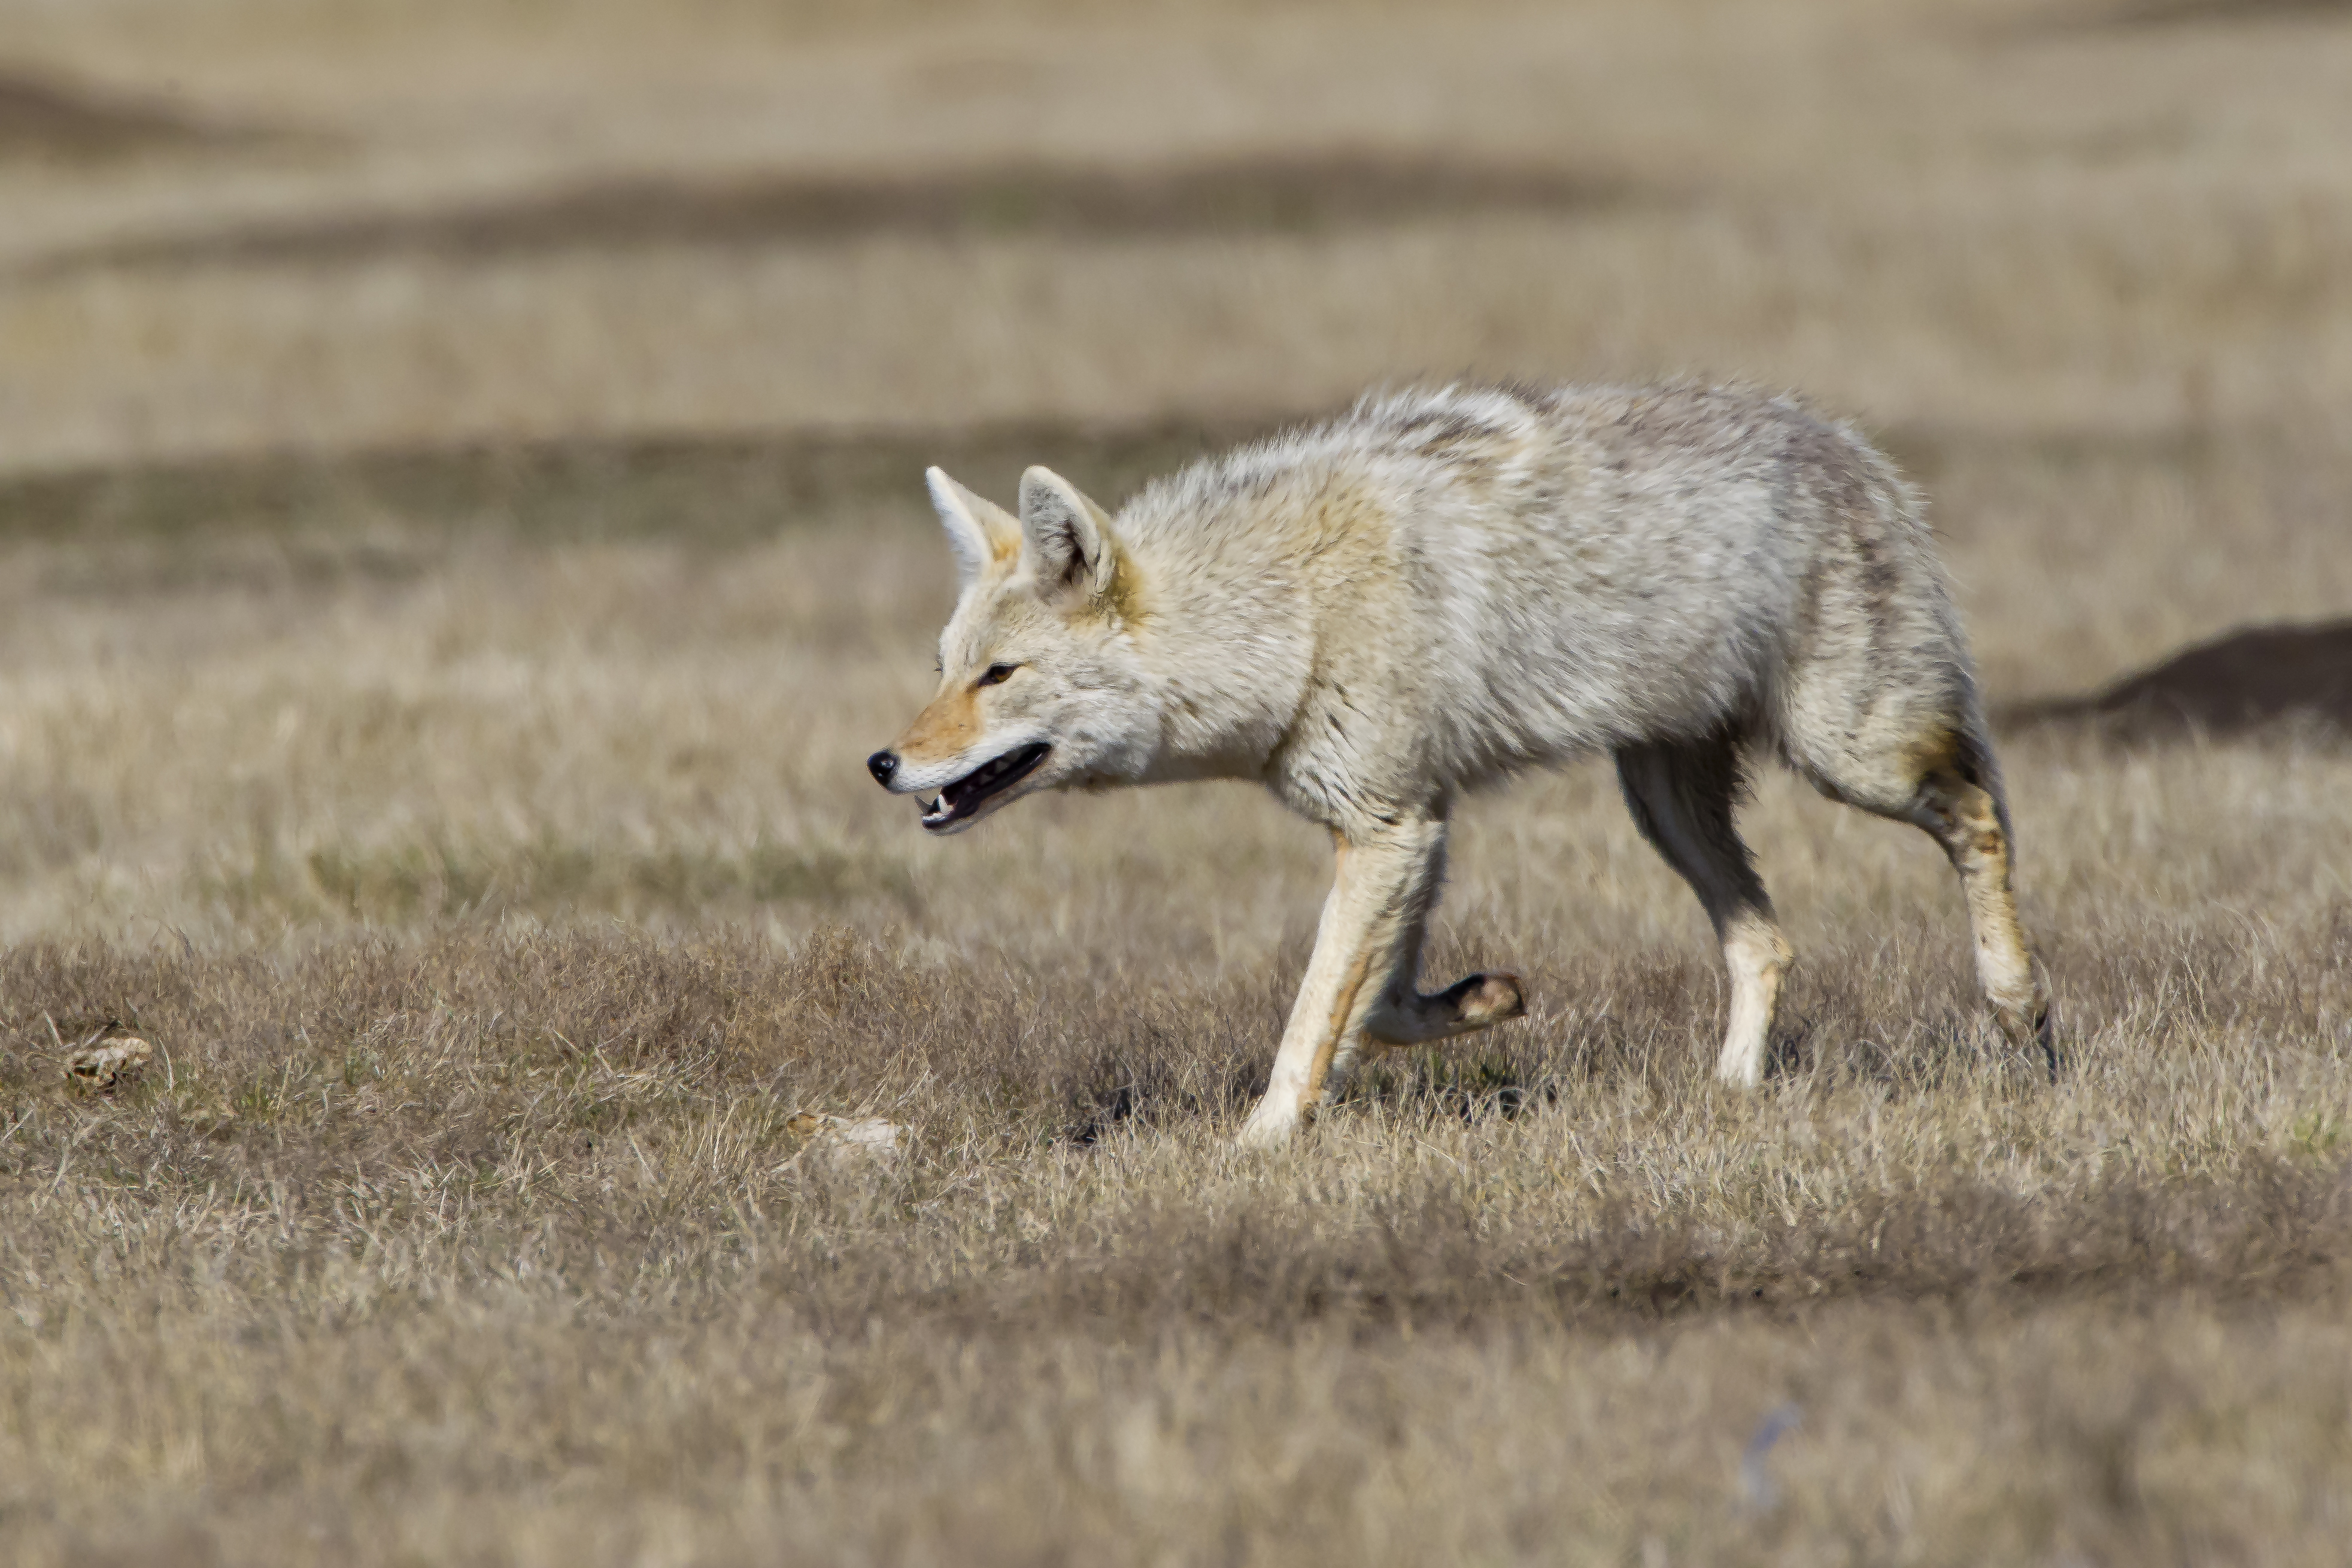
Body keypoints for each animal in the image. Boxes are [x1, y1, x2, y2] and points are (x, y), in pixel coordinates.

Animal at [870, 381, 2060, 1142]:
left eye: (999, 677)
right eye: (942, 669)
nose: (883, 763)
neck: (1288, 612)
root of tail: (1849, 446)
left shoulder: (1389, 827)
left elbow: (1313, 1011)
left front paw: (1259, 1142)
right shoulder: (1410, 828)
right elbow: (1377, 1002)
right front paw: (1480, 1001)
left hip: (1851, 758)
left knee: (1980, 814)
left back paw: (2018, 1005)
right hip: (1664, 809)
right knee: (1767, 943)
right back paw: (1731, 1093)